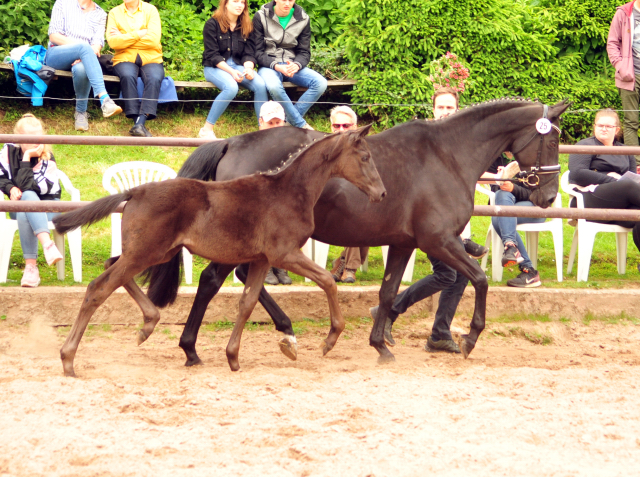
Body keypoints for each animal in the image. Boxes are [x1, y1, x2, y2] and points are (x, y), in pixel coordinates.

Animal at [53, 126, 384, 376]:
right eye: (365, 156)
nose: (381, 193)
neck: (289, 191)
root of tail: (135, 191)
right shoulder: (285, 254)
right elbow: (327, 280)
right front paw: (330, 339)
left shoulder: (261, 259)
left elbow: (247, 303)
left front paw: (233, 357)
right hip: (145, 253)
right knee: (99, 287)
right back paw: (68, 359)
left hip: (152, 252)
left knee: (113, 267)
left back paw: (150, 323)